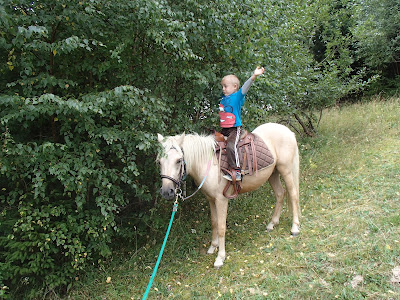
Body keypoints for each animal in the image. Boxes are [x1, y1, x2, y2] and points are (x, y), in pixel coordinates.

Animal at [156, 123, 300, 268]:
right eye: (159, 162)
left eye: (179, 160)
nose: (167, 192)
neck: (207, 162)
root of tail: (287, 131)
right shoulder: (211, 199)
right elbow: (214, 222)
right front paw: (213, 247)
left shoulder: (221, 199)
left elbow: (221, 227)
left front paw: (220, 257)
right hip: (273, 173)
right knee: (280, 194)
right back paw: (272, 223)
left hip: (286, 170)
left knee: (293, 195)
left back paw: (294, 228)